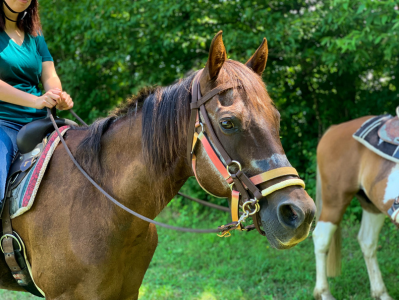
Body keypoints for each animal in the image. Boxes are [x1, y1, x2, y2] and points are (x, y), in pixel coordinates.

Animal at [314, 115, 398, 300]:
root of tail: (334, 128)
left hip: (371, 204)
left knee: (367, 241)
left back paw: (381, 293)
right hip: (334, 201)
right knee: (321, 238)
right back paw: (324, 293)